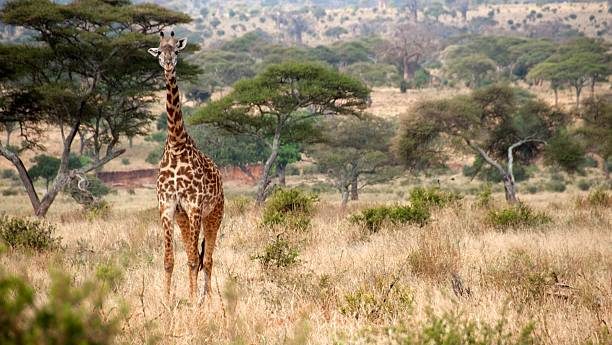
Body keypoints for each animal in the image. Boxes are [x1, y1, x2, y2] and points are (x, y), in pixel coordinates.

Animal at [148, 30, 225, 302]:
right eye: (159, 51)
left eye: (176, 49)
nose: (168, 63)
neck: (176, 144)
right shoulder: (167, 206)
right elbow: (169, 260)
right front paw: (166, 301)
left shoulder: (194, 206)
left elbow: (193, 260)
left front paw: (191, 302)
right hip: (183, 218)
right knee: (197, 256)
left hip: (214, 214)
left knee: (208, 258)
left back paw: (207, 298)